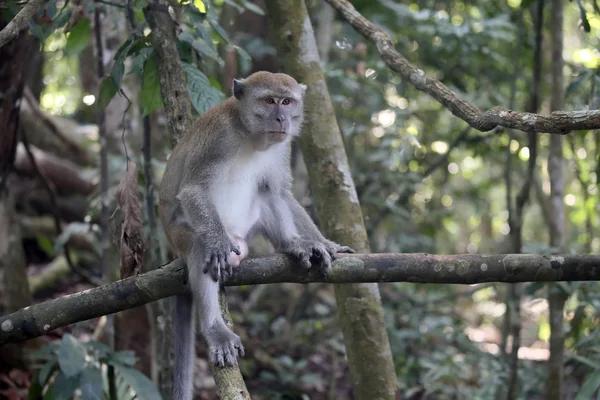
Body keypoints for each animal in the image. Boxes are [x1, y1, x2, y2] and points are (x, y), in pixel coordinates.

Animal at [159, 70, 354, 398]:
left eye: (287, 102)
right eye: (269, 101)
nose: (282, 119)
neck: (250, 133)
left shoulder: (282, 146)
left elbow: (281, 192)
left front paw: (323, 243)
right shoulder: (218, 137)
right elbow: (194, 190)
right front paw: (217, 242)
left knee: (267, 194)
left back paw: (295, 245)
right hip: (178, 236)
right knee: (199, 248)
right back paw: (215, 328)